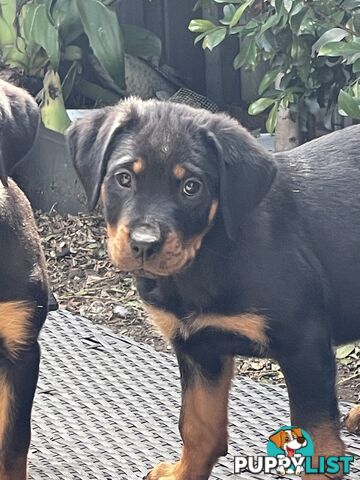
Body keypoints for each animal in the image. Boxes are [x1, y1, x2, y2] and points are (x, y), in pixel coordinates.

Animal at [67, 98, 360, 480]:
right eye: (124, 178)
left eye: (191, 187)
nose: (144, 245)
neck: (201, 263)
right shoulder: (198, 347)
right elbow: (198, 428)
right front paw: (181, 474)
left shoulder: (304, 345)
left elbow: (318, 444)